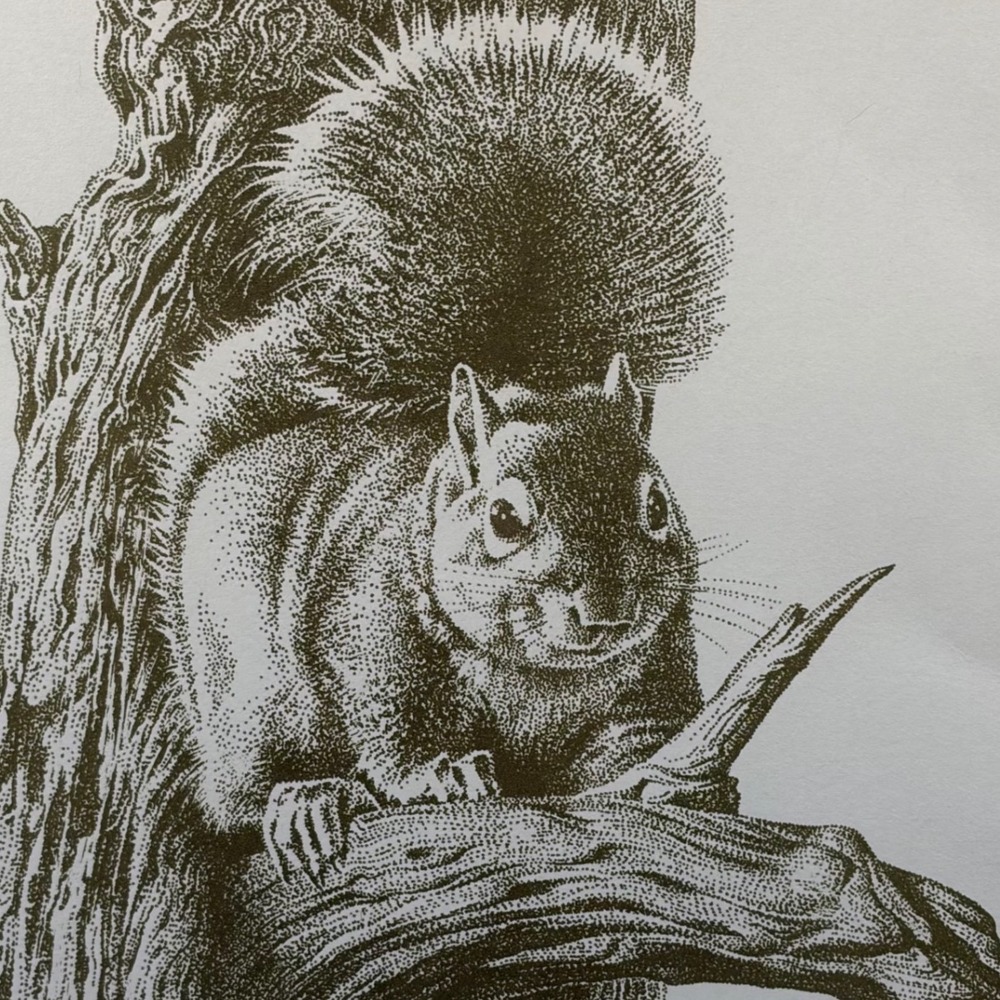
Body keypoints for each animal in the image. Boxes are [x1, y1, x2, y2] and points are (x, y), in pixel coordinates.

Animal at [156, 9, 732, 874]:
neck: (537, 673)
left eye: (658, 505)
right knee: (244, 791)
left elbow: (634, 737)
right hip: (242, 693)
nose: (605, 610)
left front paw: (679, 782)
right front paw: (443, 770)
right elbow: (390, 725)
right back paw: (303, 797)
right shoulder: (365, 630)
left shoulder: (656, 660)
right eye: (503, 518)